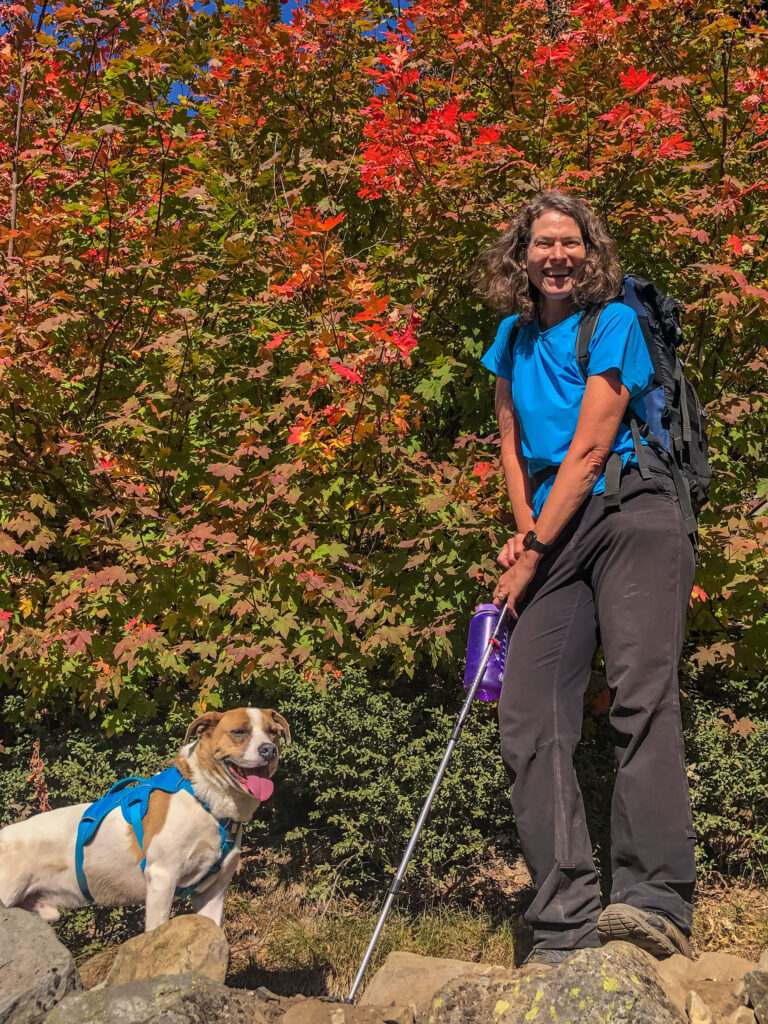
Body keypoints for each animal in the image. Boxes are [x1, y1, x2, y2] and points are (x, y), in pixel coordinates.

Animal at [0, 708, 290, 933]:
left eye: (273, 732)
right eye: (239, 732)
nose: (269, 750)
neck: (205, 800)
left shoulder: (213, 892)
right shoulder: (162, 878)